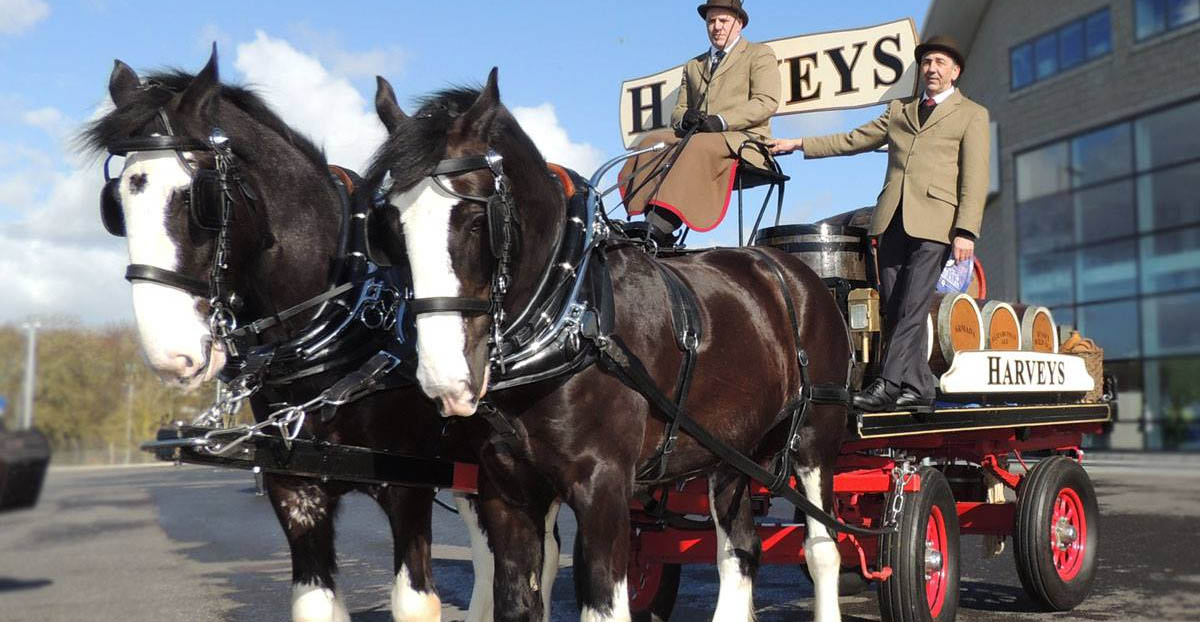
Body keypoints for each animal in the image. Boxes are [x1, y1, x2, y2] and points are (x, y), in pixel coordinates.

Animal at [81, 51, 516, 622]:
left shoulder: (408, 485)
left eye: (199, 199)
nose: (168, 355)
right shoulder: (296, 490)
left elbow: (415, 601)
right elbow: (314, 603)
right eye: (118, 205)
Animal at [367, 69, 854, 622]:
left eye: (475, 221)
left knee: (822, 546)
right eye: (391, 229)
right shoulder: (506, 492)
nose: (444, 379)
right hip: (731, 449)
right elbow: (516, 599)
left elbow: (604, 603)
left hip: (816, 438)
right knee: (740, 549)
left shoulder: (603, 488)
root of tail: (792, 270)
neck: (568, 312)